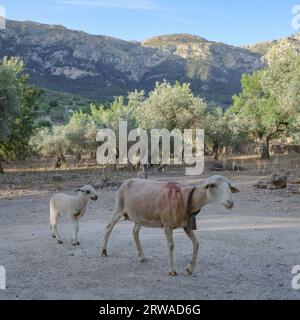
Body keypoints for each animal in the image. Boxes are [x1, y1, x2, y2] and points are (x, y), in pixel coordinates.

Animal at [101, 175, 239, 276]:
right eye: (213, 185)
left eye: (229, 186)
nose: (230, 202)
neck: (186, 198)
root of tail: (126, 181)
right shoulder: (167, 224)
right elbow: (171, 246)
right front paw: (172, 270)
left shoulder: (186, 225)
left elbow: (196, 243)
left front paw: (190, 269)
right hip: (119, 206)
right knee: (108, 227)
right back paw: (103, 251)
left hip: (139, 217)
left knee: (135, 232)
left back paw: (142, 257)